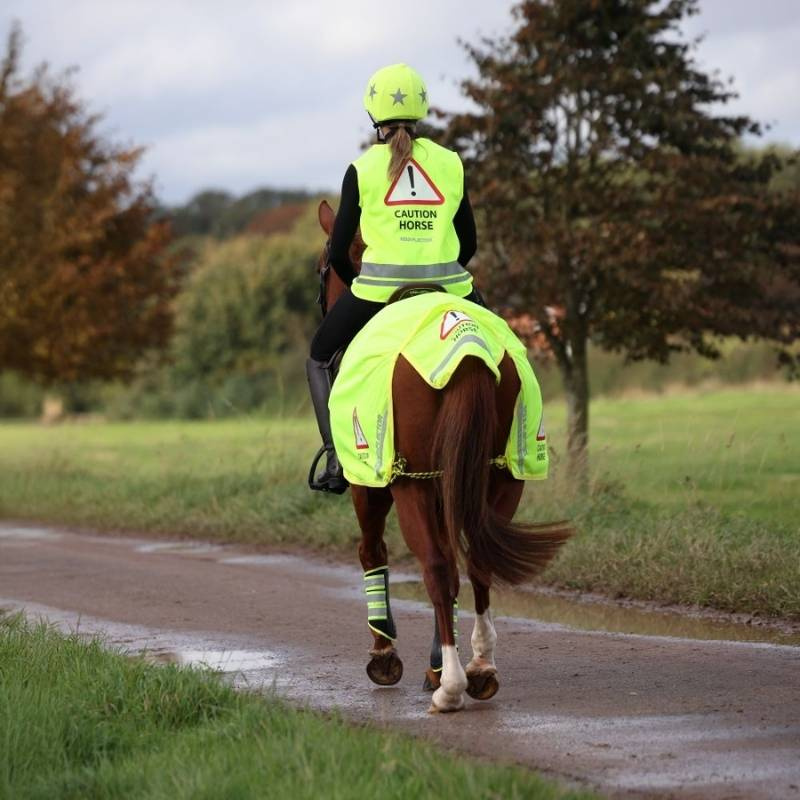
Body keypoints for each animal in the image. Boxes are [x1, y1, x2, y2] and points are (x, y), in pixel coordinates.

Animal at [316, 199, 572, 712]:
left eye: (321, 269)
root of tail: (467, 346)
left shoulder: (370, 485)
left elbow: (372, 551)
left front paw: (386, 654)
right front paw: (434, 662)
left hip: (410, 485)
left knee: (437, 565)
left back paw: (450, 685)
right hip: (501, 479)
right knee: (476, 562)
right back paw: (480, 667)